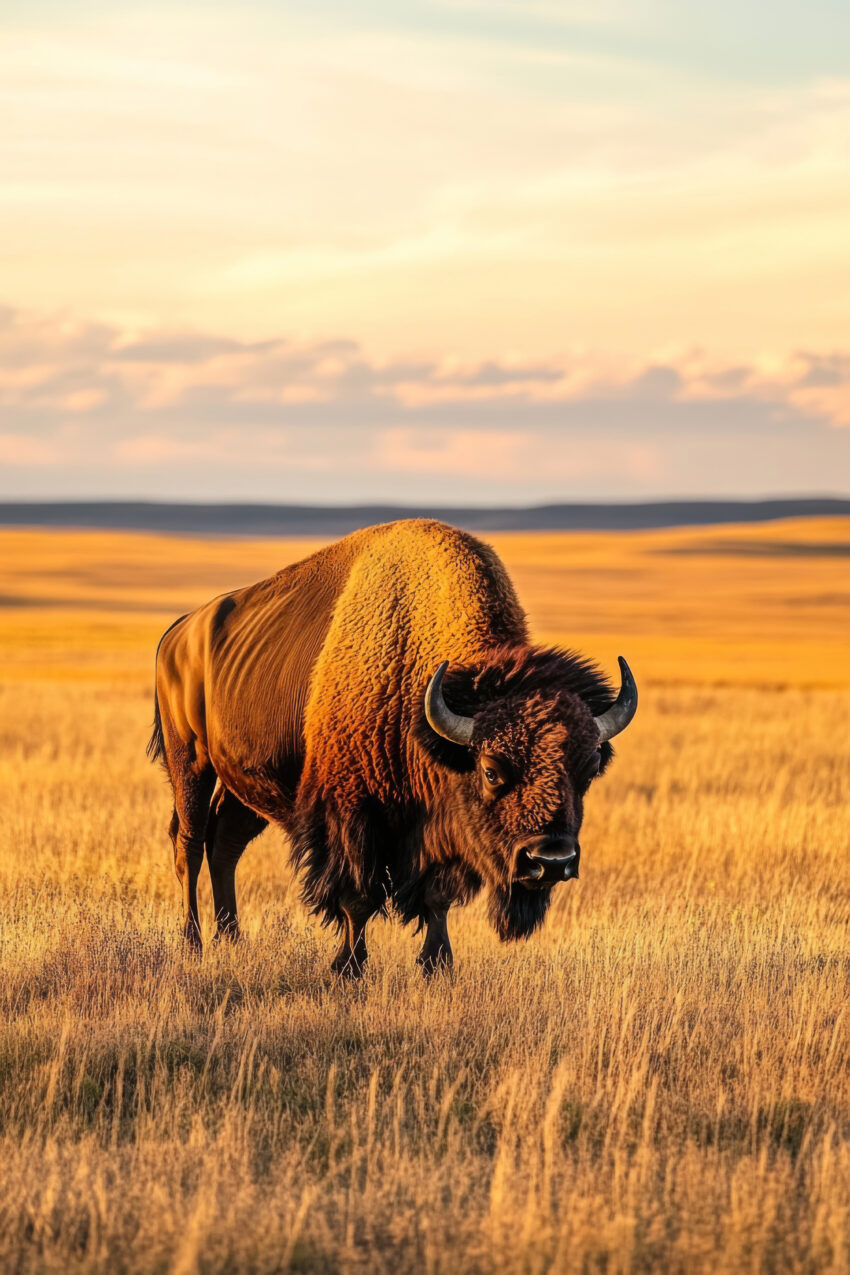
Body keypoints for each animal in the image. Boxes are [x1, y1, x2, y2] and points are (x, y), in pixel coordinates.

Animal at [148, 519, 637, 974]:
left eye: (588, 769)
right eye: (491, 769)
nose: (551, 860)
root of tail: (178, 632)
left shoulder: (438, 831)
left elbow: (437, 896)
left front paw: (437, 963)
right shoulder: (351, 813)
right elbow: (356, 898)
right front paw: (348, 966)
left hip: (245, 785)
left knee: (224, 842)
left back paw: (231, 939)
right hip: (190, 760)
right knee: (190, 843)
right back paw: (193, 943)